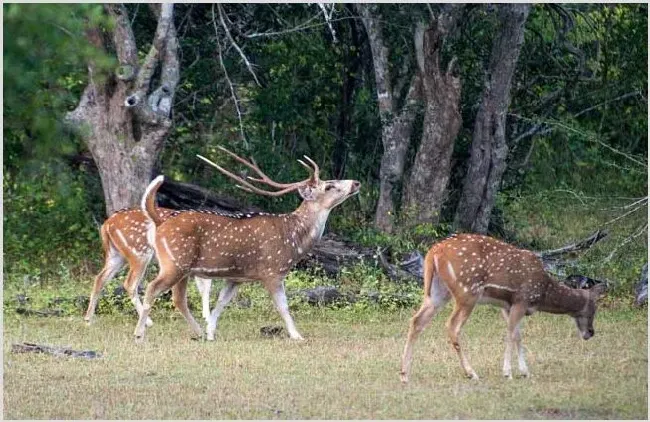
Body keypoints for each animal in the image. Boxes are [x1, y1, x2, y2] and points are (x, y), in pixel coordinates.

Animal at [82, 209, 214, 326]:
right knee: (130, 283)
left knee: (100, 278)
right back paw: (148, 322)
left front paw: (206, 316)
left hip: (116, 255)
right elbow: (206, 286)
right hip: (139, 253)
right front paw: (208, 318)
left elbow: (204, 287)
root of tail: (106, 224)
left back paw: (88, 320)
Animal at [132, 147, 362, 342]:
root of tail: (160, 222)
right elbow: (283, 306)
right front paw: (297, 336)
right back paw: (139, 334)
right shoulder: (272, 271)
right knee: (151, 288)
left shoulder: (236, 277)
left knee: (178, 299)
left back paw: (197, 333)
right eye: (329, 186)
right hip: (175, 262)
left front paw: (210, 332)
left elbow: (221, 302)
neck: (294, 239)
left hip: (184, 268)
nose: (356, 183)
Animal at [398, 232, 604, 384]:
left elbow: (517, 335)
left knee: (417, 320)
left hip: (437, 291)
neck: (542, 292)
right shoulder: (521, 300)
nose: (590, 332)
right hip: (467, 292)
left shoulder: (507, 305)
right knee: (452, 326)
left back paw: (404, 375)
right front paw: (508, 373)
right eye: (593, 309)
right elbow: (510, 334)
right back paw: (471, 373)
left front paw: (525, 371)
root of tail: (434, 251)